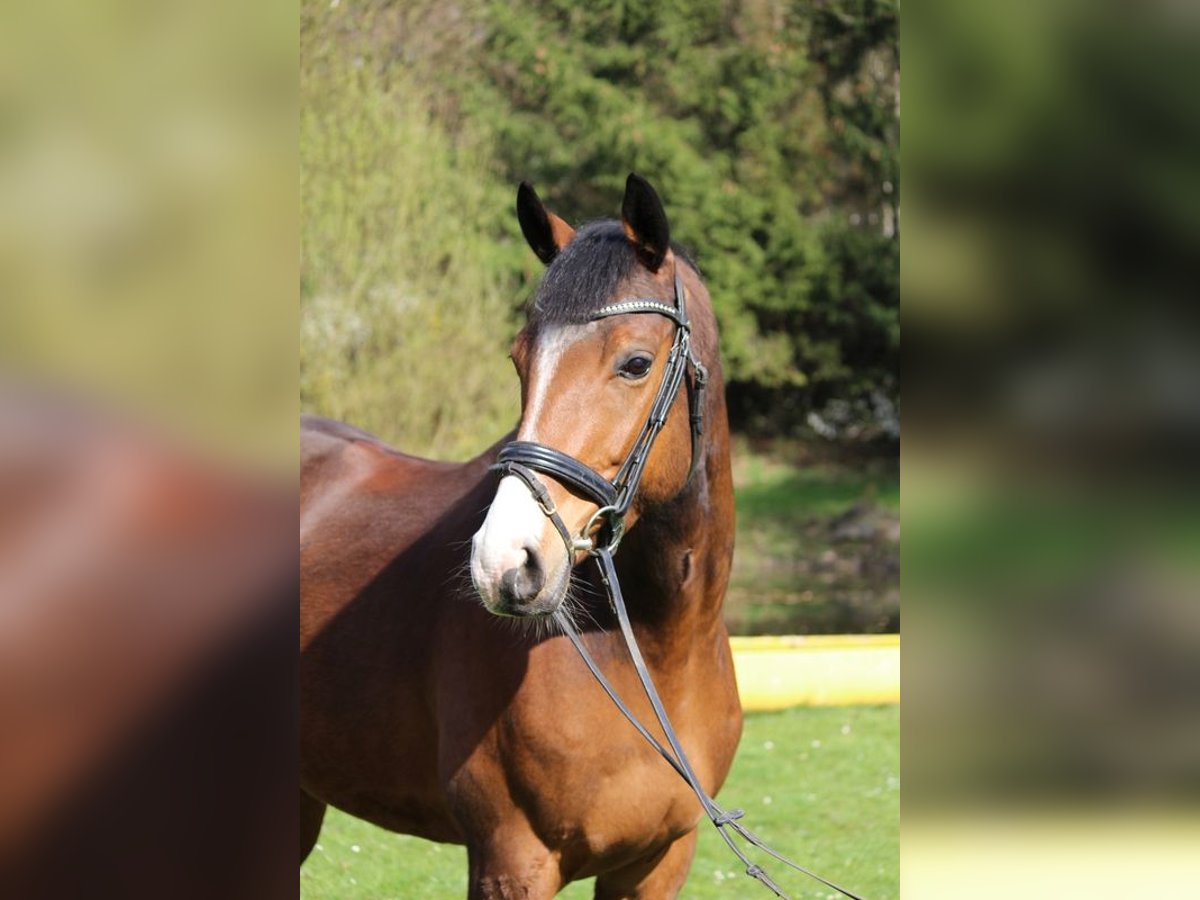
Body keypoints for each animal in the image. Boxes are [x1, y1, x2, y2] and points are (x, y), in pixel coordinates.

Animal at [300, 172, 739, 897]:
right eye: (519, 359)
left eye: (635, 363)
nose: (504, 563)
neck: (654, 653)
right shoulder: (513, 860)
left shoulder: (657, 862)